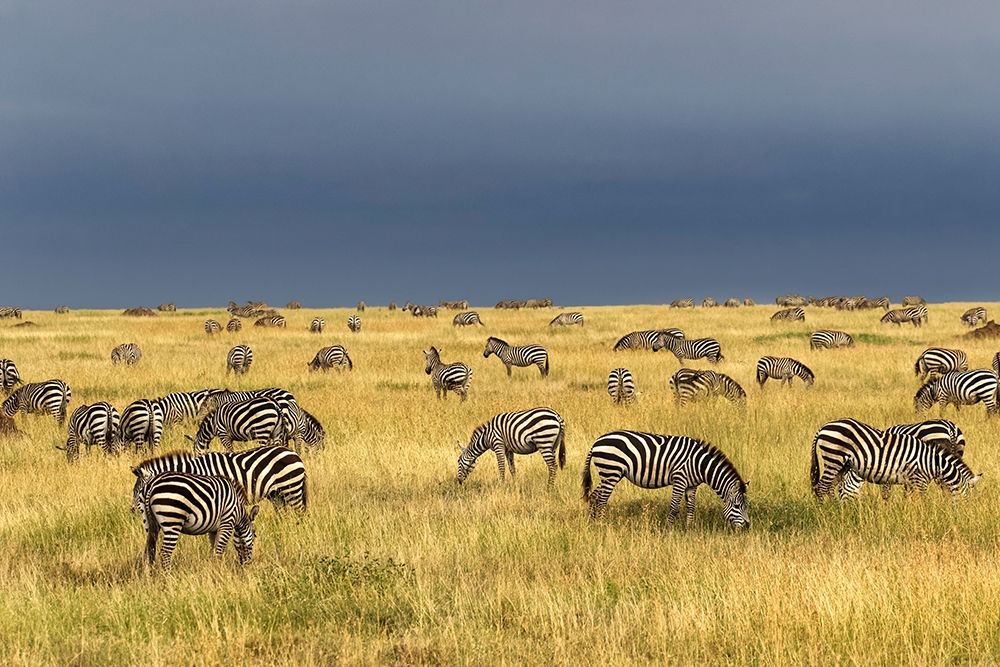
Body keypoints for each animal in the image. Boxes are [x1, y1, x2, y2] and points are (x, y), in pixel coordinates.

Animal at [131, 445, 308, 513]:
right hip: (276, 494)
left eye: (140, 491)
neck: (194, 471)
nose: (132, 511)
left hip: (291, 488)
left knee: (300, 512)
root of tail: (293, 453)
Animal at [581, 430, 749, 528]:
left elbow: (691, 507)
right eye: (736, 506)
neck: (699, 464)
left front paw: (689, 528)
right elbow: (674, 507)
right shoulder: (680, 480)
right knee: (602, 500)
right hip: (611, 472)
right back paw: (602, 524)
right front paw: (668, 530)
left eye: (746, 506)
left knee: (594, 496)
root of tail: (596, 442)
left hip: (608, 474)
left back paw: (592, 522)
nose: (748, 526)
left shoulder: (692, 485)